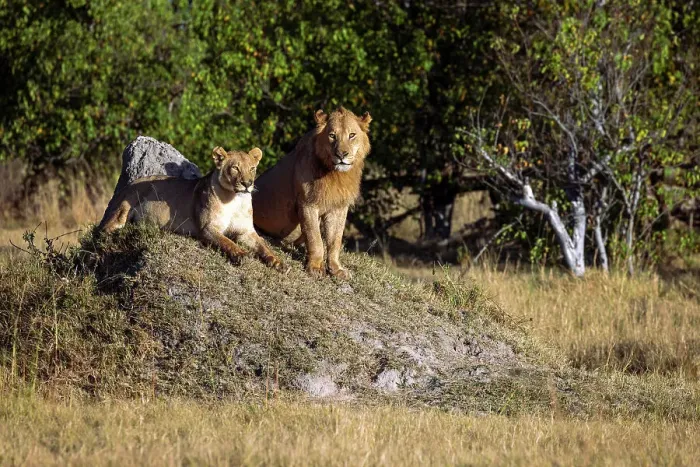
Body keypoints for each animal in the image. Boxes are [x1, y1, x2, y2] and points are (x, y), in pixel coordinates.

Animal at [99, 146, 283, 269]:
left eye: (252, 168)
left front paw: (276, 261)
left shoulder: (246, 231)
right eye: (235, 168)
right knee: (105, 230)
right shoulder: (207, 228)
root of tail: (128, 184)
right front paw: (241, 254)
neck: (235, 200)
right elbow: (227, 242)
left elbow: (262, 245)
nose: (247, 184)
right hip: (124, 207)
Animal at [252, 106, 372, 279]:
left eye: (352, 135)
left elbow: (335, 241)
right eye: (332, 136)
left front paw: (336, 269)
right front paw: (315, 267)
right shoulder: (307, 204)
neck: (336, 174)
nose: (341, 155)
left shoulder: (338, 208)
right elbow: (316, 239)